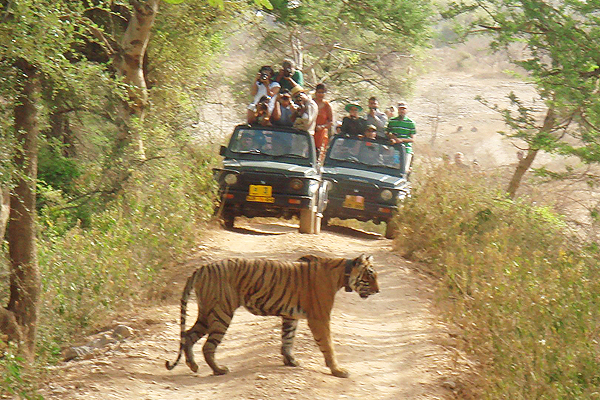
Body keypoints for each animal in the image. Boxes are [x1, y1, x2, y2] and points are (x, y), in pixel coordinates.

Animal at [164, 255, 380, 376]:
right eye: (370, 275)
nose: (378, 291)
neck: (342, 274)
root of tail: (202, 268)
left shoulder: (291, 316)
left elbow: (288, 339)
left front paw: (290, 361)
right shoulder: (320, 318)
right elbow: (328, 345)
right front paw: (337, 370)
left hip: (207, 312)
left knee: (188, 335)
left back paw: (193, 366)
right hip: (221, 312)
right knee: (208, 346)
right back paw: (218, 370)